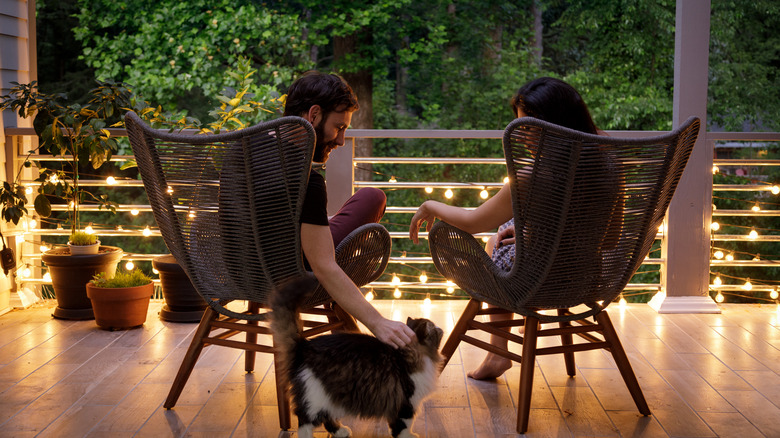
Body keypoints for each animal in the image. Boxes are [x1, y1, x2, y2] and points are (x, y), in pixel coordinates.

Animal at [272, 278, 444, 438]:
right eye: (435, 329)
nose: (440, 328)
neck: (406, 354)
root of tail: (304, 345)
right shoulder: (407, 402)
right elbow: (404, 426)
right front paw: (408, 436)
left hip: (331, 397)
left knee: (326, 418)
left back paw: (341, 431)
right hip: (315, 396)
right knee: (304, 420)